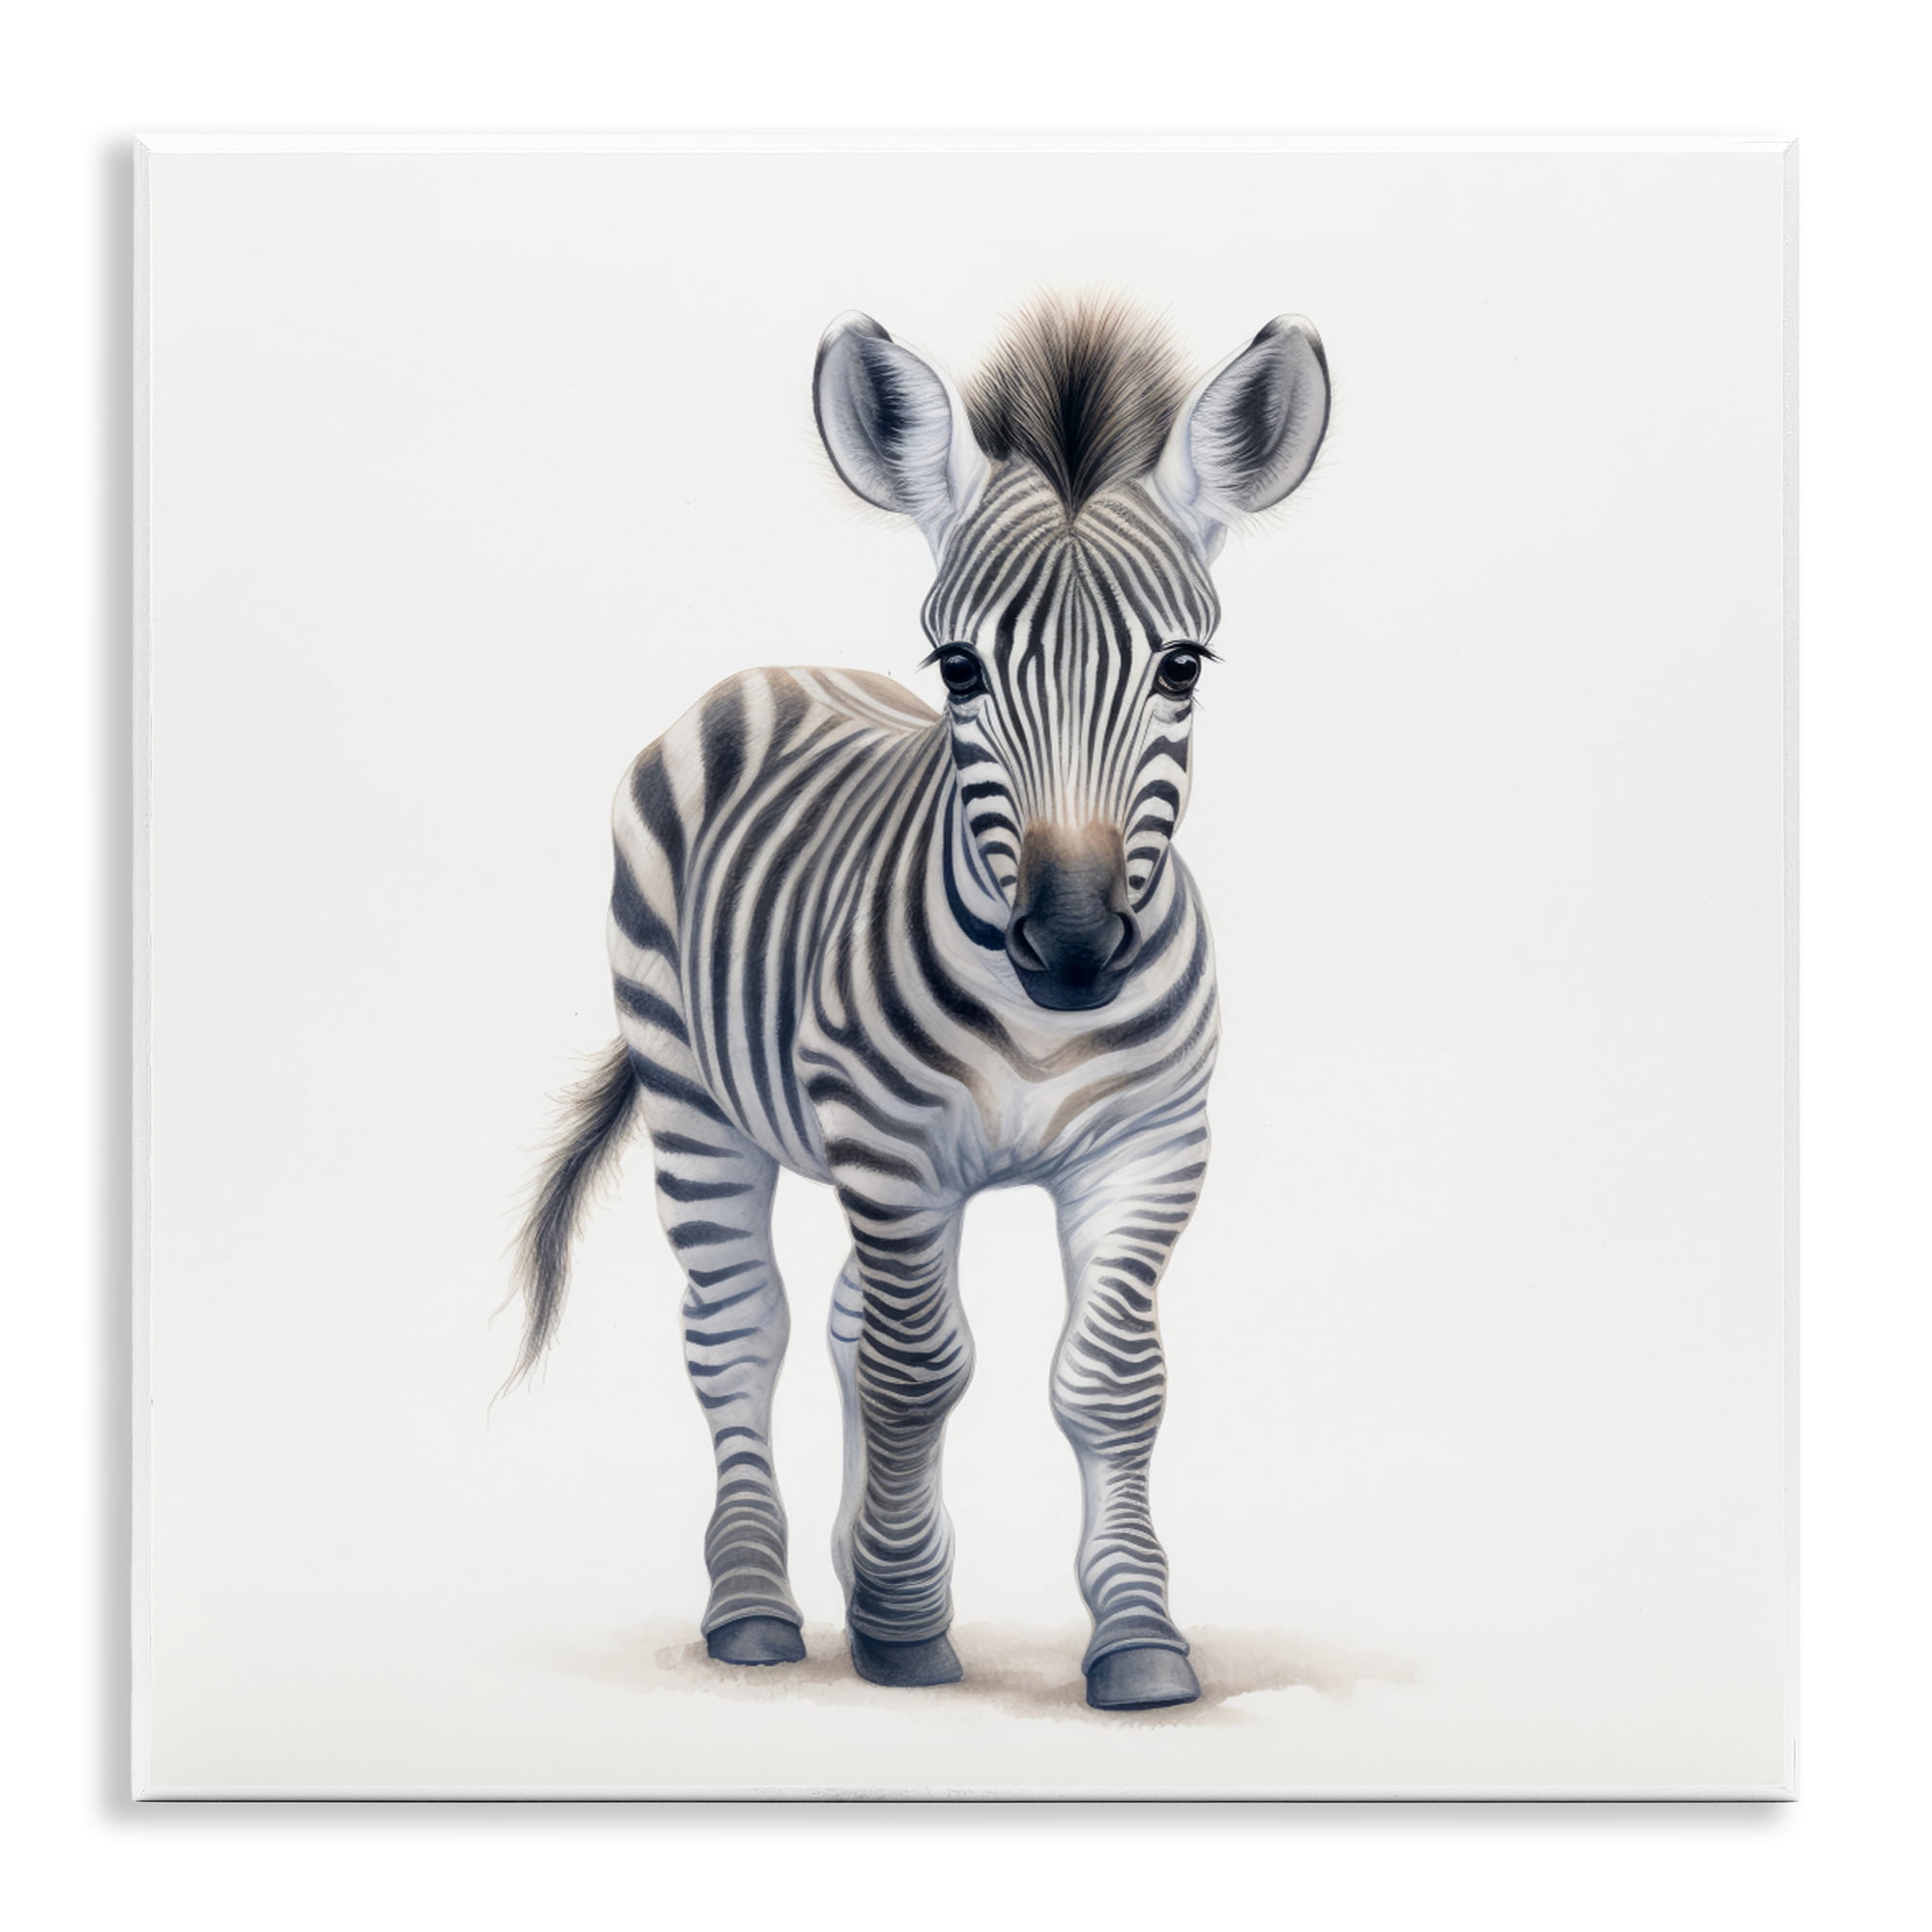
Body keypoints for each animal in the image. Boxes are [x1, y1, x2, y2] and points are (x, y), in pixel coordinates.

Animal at [513, 297, 1329, 1711]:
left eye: (1181, 667)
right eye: (957, 668)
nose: (1071, 949)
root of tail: (774, 671)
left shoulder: (1151, 1147)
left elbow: (1109, 1382)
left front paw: (1136, 1639)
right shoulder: (891, 1143)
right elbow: (919, 1369)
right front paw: (903, 1631)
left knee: (846, 1320)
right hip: (693, 1097)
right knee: (740, 1331)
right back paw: (755, 1607)